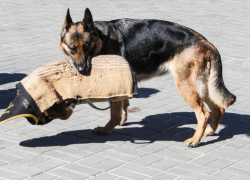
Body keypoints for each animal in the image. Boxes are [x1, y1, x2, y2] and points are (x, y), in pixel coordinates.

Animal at [59, 7, 235, 147]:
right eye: (73, 49)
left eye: (86, 47)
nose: (82, 70)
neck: (102, 38)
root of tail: (207, 43)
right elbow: (124, 105)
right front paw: (122, 120)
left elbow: (114, 114)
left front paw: (107, 129)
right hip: (202, 86)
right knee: (218, 108)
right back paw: (209, 131)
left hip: (186, 86)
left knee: (204, 114)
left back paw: (195, 140)